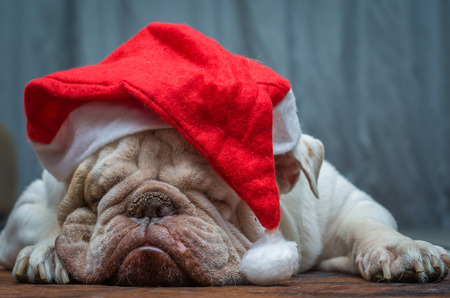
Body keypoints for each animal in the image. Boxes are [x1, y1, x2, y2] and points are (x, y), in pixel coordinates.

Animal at [0, 129, 448, 286]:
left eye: (218, 199)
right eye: (97, 196)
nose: (151, 203)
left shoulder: (348, 205)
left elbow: (370, 224)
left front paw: (404, 249)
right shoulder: (29, 204)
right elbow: (46, 218)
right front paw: (47, 251)